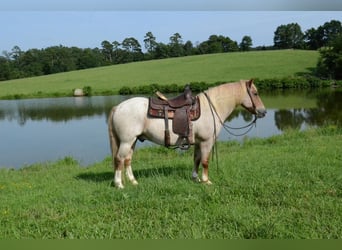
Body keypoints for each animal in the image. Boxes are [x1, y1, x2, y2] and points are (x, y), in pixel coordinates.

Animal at [108, 79, 266, 188]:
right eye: (255, 93)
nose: (263, 112)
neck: (211, 107)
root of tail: (118, 107)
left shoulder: (198, 142)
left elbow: (196, 160)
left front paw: (195, 178)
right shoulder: (207, 141)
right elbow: (205, 161)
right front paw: (206, 181)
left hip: (133, 141)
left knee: (128, 160)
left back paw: (133, 181)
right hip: (127, 141)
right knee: (119, 159)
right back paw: (119, 184)